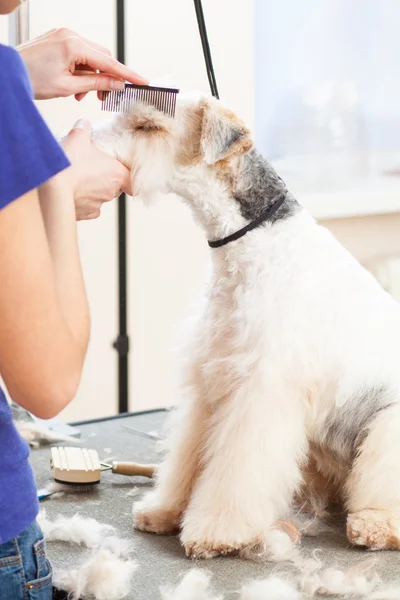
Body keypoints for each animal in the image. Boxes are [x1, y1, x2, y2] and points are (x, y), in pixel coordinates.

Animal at [94, 94, 400, 556]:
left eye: (149, 125)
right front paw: (165, 511)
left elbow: (237, 473)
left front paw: (216, 532)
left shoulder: (261, 389)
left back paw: (375, 525)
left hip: (385, 429)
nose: (89, 144)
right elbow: (189, 457)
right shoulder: (212, 377)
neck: (255, 241)